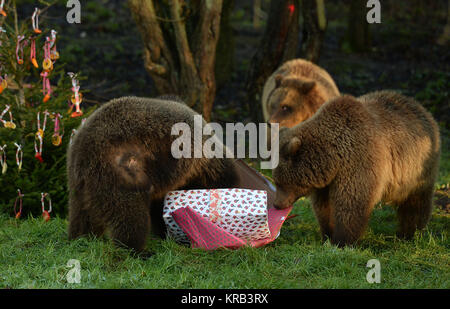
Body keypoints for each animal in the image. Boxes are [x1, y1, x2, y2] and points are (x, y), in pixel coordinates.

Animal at [272, 89, 442, 245]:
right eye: (276, 180)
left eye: (280, 182)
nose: (277, 204)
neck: (334, 159)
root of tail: (422, 108)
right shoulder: (327, 182)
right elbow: (324, 207)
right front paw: (327, 235)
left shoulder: (359, 161)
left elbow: (351, 204)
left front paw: (342, 241)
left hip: (417, 170)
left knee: (415, 202)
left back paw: (409, 233)